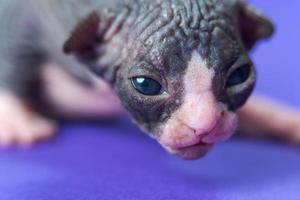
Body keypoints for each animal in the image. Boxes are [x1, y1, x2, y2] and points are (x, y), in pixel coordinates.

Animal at [0, 0, 298, 159]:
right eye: (146, 85)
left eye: (239, 76)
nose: (204, 124)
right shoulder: (42, 16)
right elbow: (16, 41)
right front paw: (16, 117)